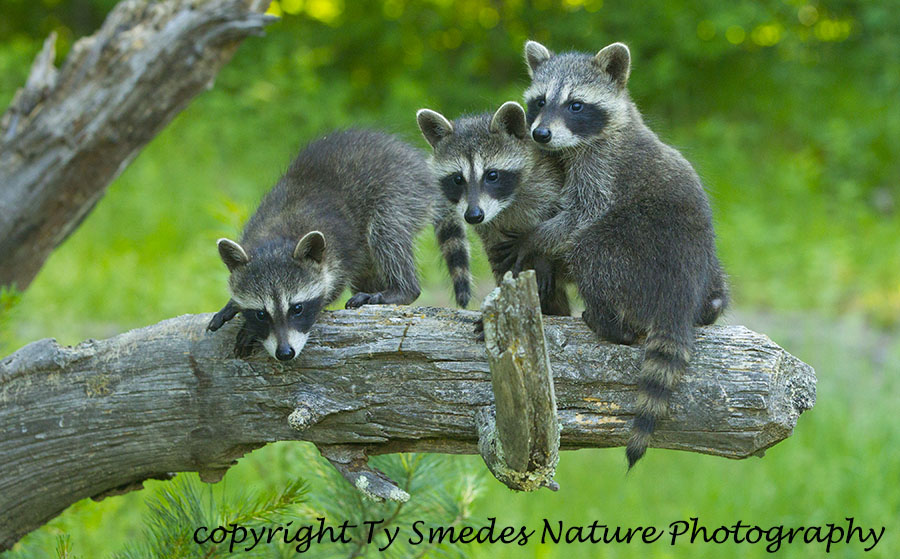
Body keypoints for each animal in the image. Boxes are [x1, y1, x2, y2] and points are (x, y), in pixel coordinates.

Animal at [207, 129, 435, 361]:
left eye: (297, 308)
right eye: (261, 314)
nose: (285, 353)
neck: (276, 237)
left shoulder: (338, 251)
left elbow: (333, 287)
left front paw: (247, 329)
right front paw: (234, 306)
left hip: (401, 191)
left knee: (387, 232)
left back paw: (402, 289)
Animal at [416, 101, 571, 315]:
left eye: (492, 175)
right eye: (457, 179)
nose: (473, 215)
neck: (506, 204)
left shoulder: (548, 182)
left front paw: (542, 256)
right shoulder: (491, 234)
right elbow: (502, 265)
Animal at [519, 41, 729, 467]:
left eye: (576, 105)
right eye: (540, 101)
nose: (540, 134)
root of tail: (680, 294)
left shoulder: (602, 169)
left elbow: (580, 216)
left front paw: (535, 238)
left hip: (631, 251)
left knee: (591, 250)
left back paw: (608, 321)